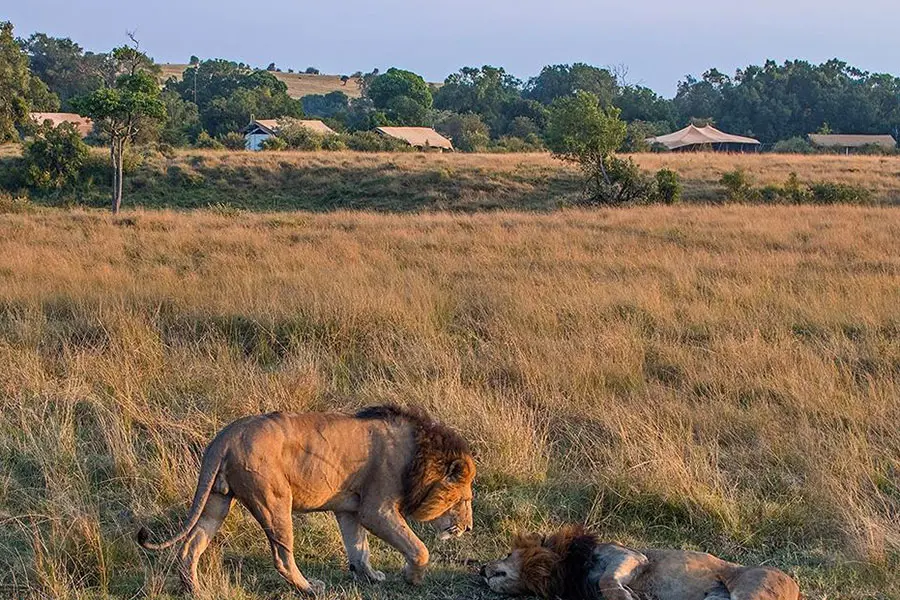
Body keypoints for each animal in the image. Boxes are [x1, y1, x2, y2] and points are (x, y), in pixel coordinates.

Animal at [137, 406, 474, 592]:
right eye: (465, 499)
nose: (469, 528)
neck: (420, 455)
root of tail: (226, 437)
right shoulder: (375, 509)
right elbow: (419, 549)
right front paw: (411, 578)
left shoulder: (350, 509)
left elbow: (359, 548)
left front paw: (371, 575)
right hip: (274, 502)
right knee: (282, 557)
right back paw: (310, 588)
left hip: (217, 501)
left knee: (192, 545)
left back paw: (193, 588)